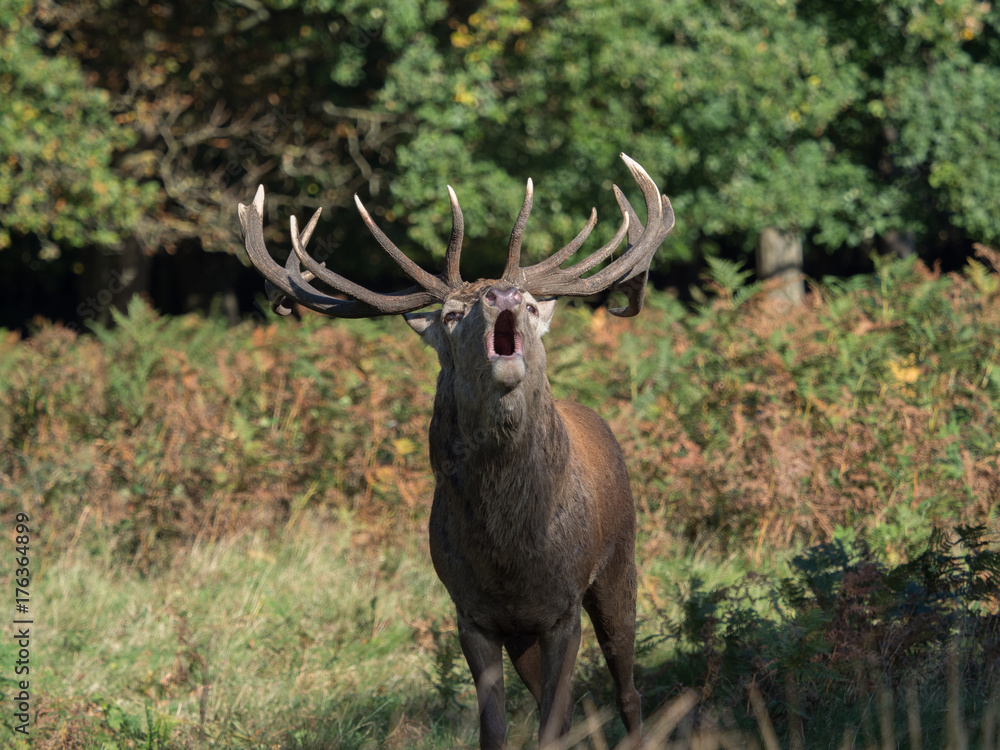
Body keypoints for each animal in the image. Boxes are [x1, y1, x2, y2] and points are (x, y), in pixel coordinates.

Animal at [238, 154, 674, 749]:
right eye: (449, 316)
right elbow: (501, 729)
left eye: (531, 305)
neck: (511, 552)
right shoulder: (472, 615)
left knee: (627, 690)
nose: (503, 296)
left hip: (620, 562)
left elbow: (552, 724)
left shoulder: (563, 609)